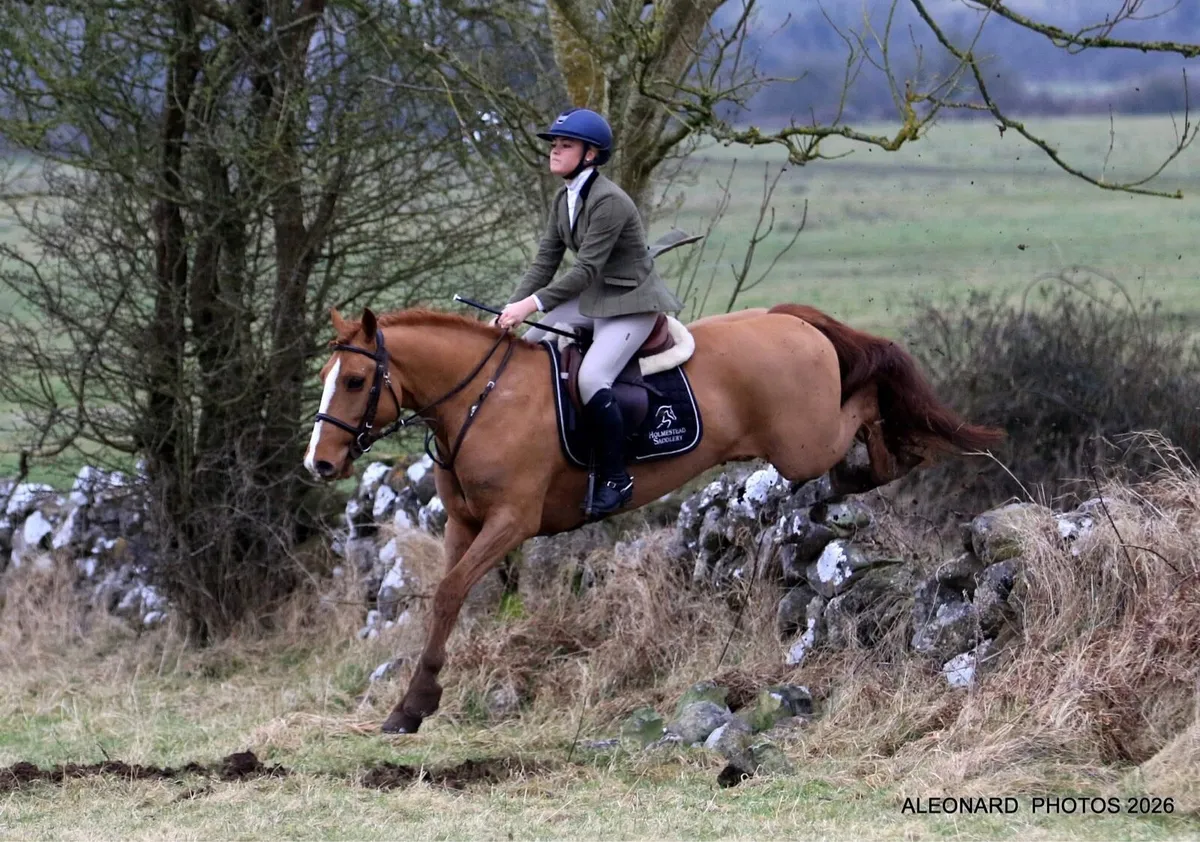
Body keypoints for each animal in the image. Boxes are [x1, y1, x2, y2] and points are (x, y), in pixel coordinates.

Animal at [304, 302, 1003, 734]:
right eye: (327, 376)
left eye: (357, 380)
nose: (319, 463)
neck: (483, 400)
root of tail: (788, 320)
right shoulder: (464, 525)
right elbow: (444, 602)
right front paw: (411, 708)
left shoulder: (511, 523)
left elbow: (450, 592)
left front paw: (417, 702)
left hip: (803, 441)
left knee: (866, 404)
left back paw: (882, 460)